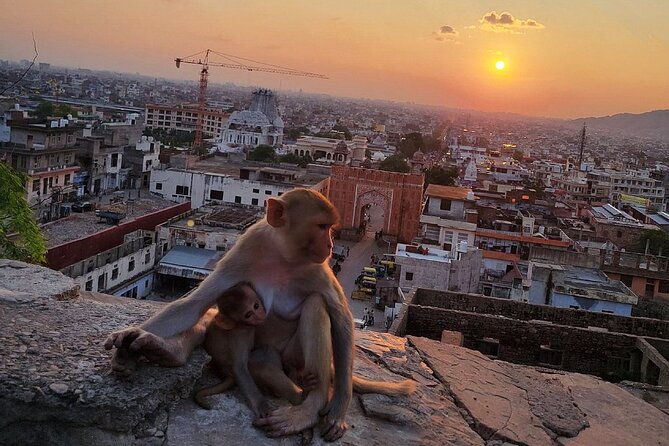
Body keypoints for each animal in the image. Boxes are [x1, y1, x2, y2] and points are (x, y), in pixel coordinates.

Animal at [105, 188, 411, 441]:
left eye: (330, 228)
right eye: (322, 227)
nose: (331, 246)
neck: (283, 254)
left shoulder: (317, 267)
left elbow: (341, 317)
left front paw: (337, 409)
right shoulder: (246, 248)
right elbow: (195, 305)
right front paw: (133, 337)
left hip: (295, 356)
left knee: (315, 306)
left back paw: (308, 408)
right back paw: (162, 351)